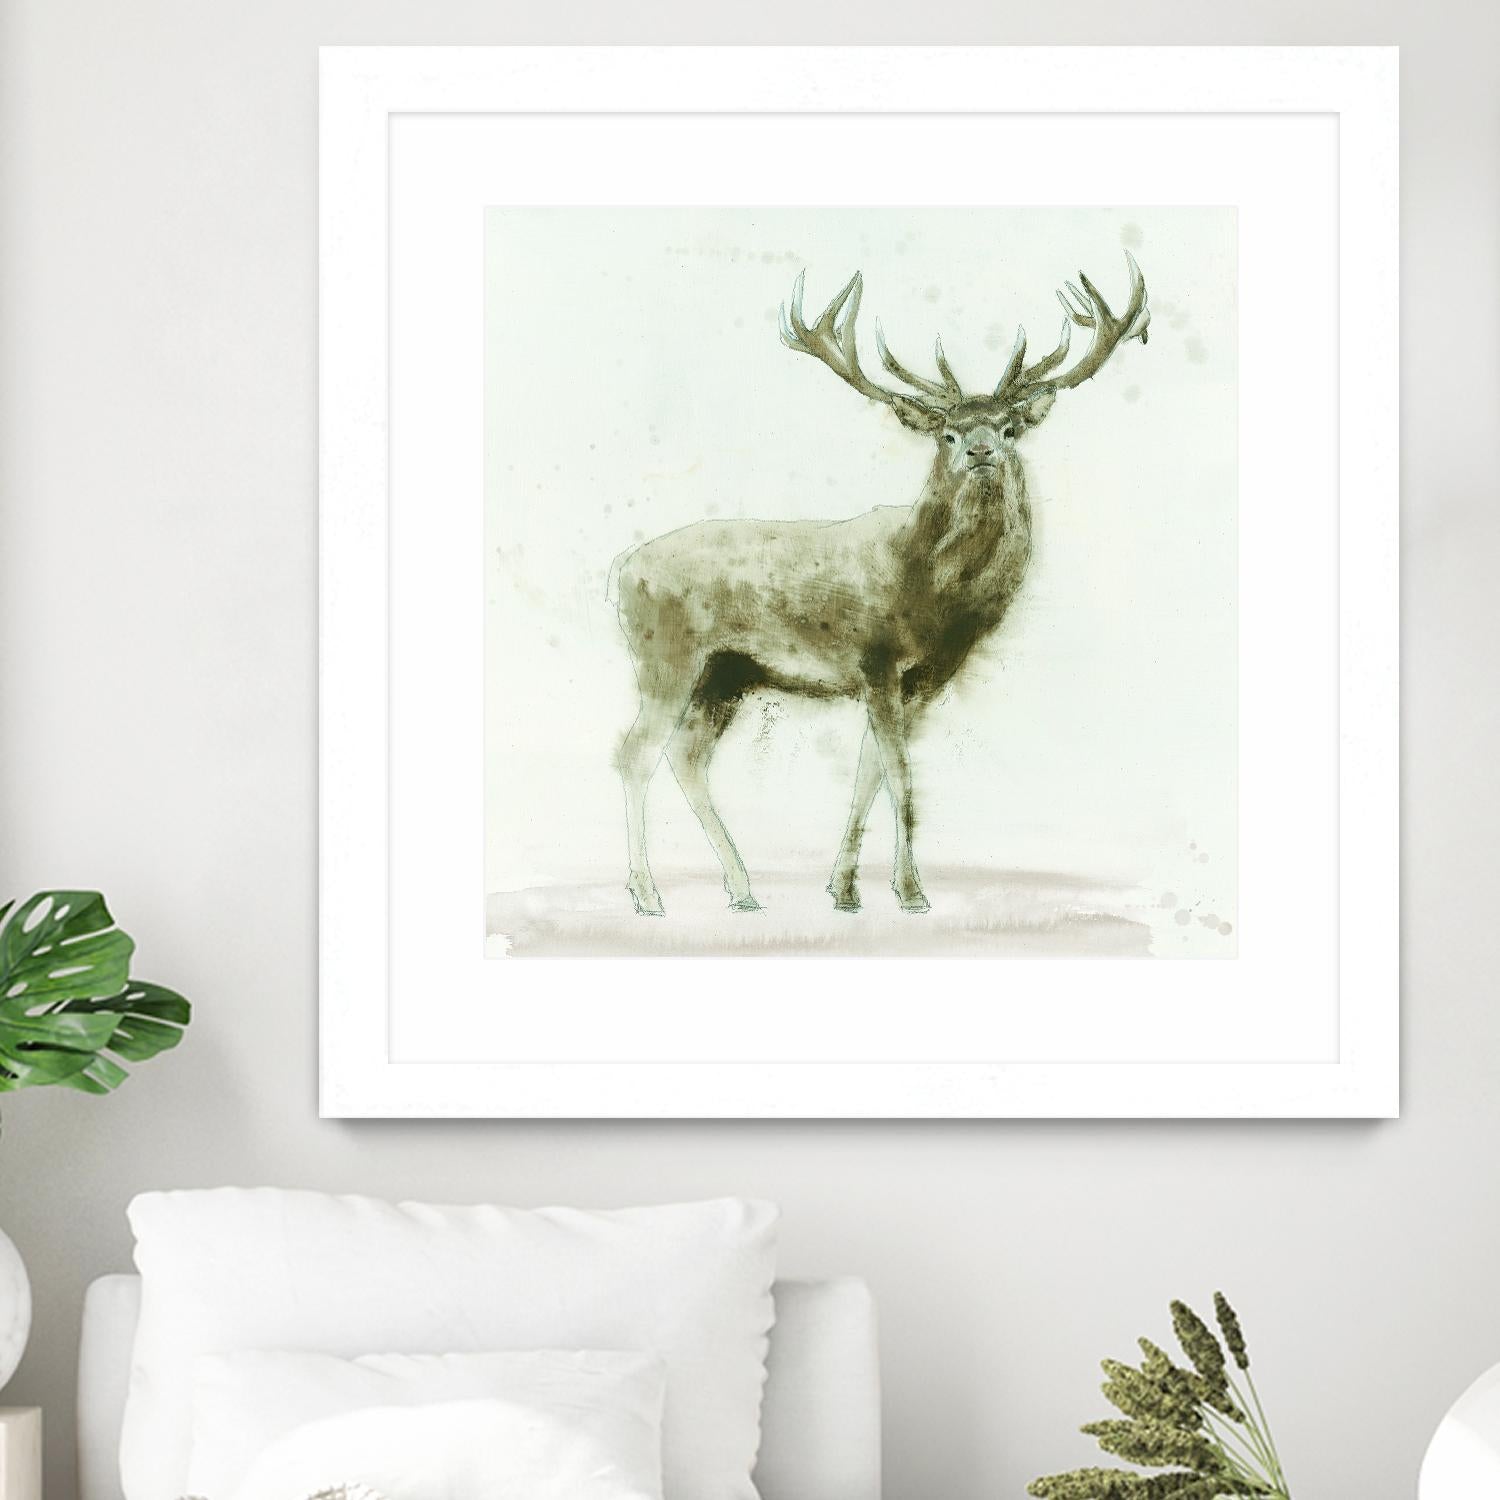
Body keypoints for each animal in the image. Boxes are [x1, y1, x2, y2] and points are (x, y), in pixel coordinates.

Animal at [609, 253, 1149, 917]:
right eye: (947, 432)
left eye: (1009, 428)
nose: (980, 451)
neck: (930, 593)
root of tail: (619, 573)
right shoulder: (876, 659)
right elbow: (901, 775)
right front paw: (912, 893)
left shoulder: (920, 679)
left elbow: (870, 771)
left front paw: (844, 889)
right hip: (667, 655)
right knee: (635, 754)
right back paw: (648, 895)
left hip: (727, 673)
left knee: (686, 756)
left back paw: (742, 889)